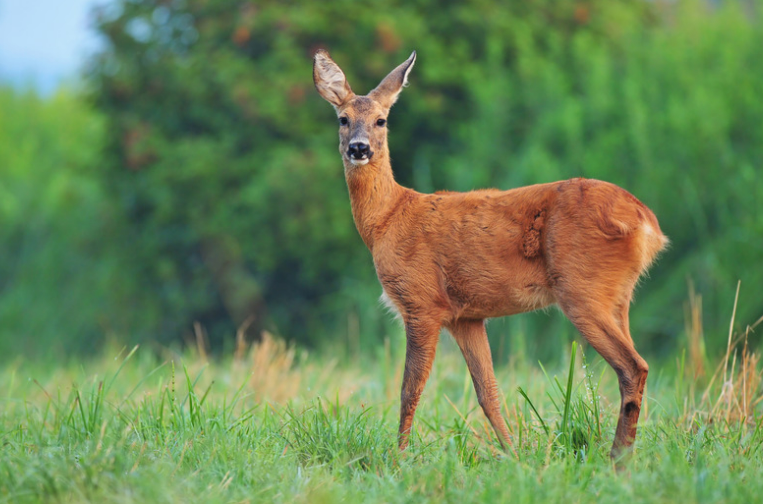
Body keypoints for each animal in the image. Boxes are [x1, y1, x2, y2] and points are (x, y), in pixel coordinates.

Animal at [313, 49, 668, 463]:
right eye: (343, 119)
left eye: (381, 120)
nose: (359, 148)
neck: (388, 218)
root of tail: (646, 222)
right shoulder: (466, 316)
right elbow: (488, 392)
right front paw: (514, 456)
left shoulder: (421, 301)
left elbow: (409, 390)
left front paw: (399, 457)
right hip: (618, 296)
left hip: (582, 288)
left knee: (633, 366)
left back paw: (617, 459)